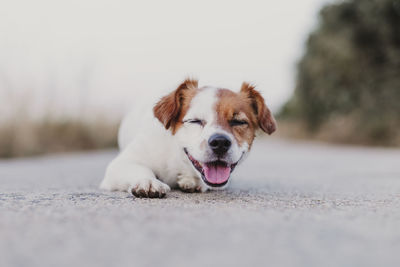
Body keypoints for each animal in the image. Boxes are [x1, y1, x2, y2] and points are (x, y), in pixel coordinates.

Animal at [99, 78, 276, 198]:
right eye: (195, 121)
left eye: (239, 122)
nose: (220, 142)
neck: (177, 159)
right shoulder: (120, 164)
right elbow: (138, 168)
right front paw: (147, 181)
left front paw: (192, 180)